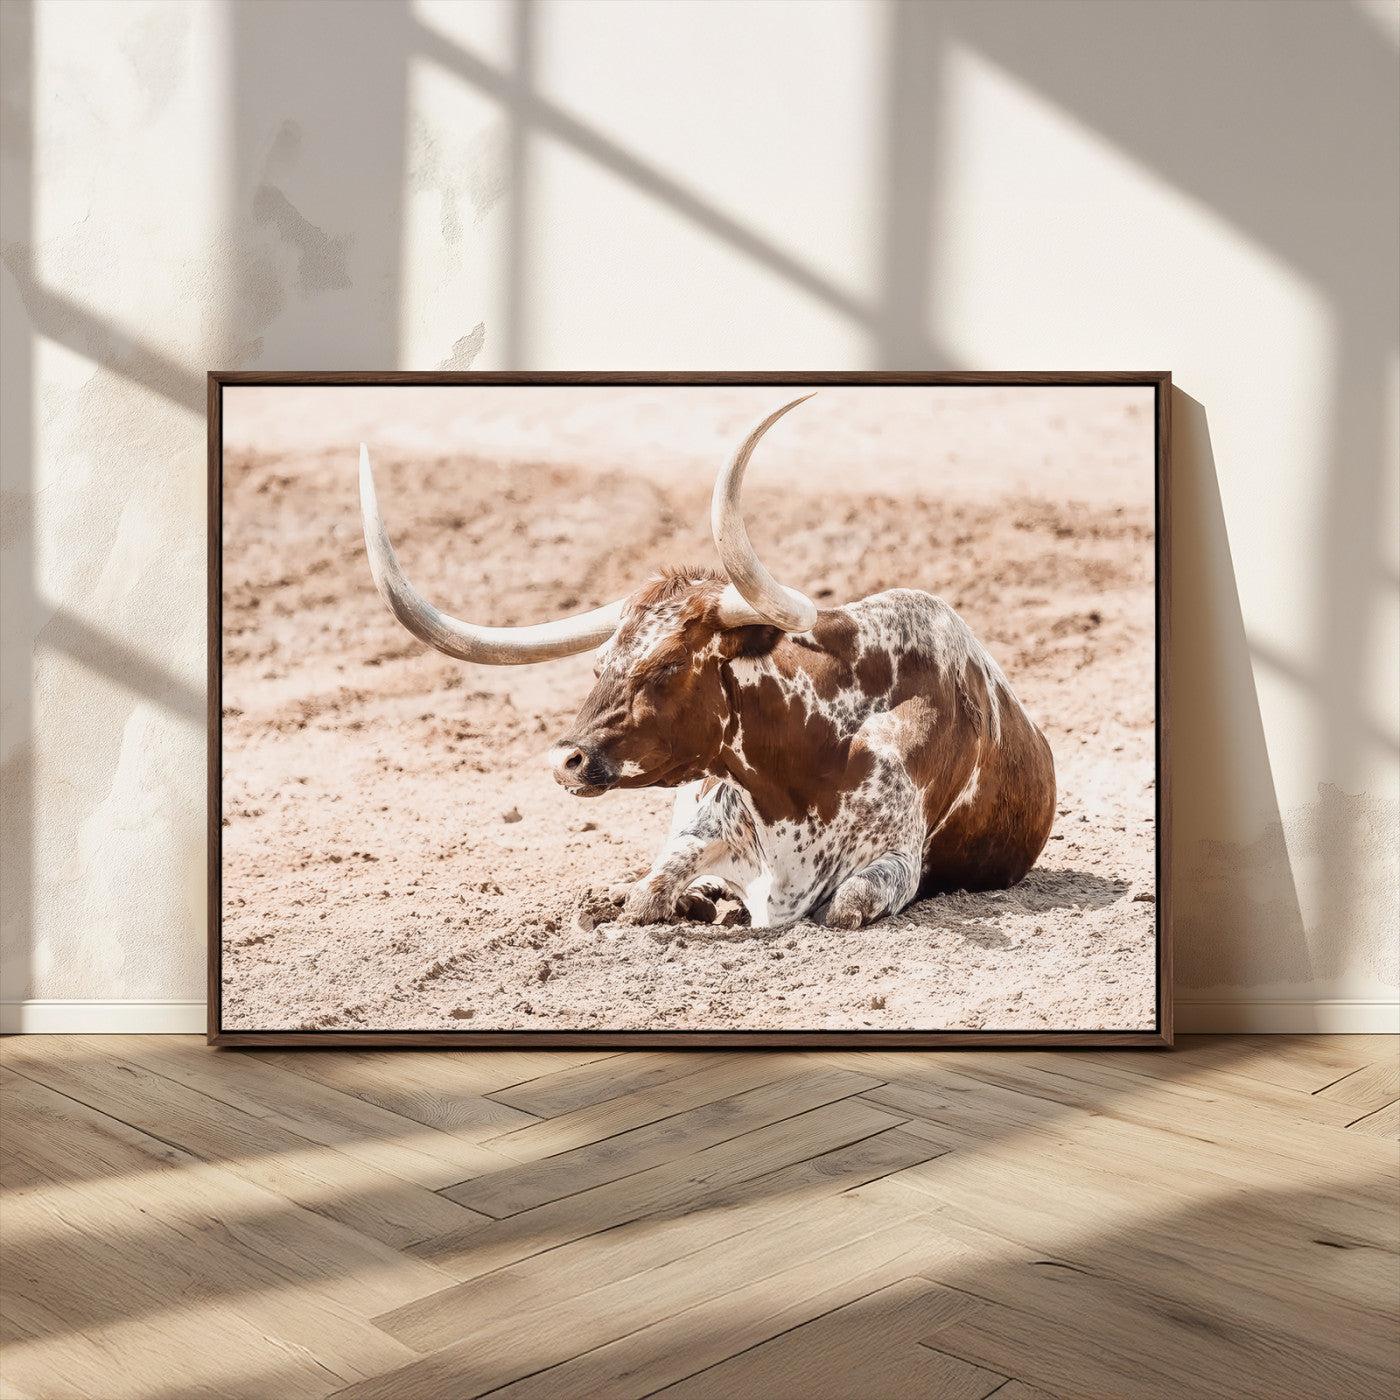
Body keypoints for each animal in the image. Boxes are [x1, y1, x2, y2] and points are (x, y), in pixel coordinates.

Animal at [359, 395, 1056, 930]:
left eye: (668, 665)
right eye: (600, 664)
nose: (565, 760)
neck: (809, 763)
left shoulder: (896, 863)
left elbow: (844, 904)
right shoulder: (700, 826)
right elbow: (648, 893)